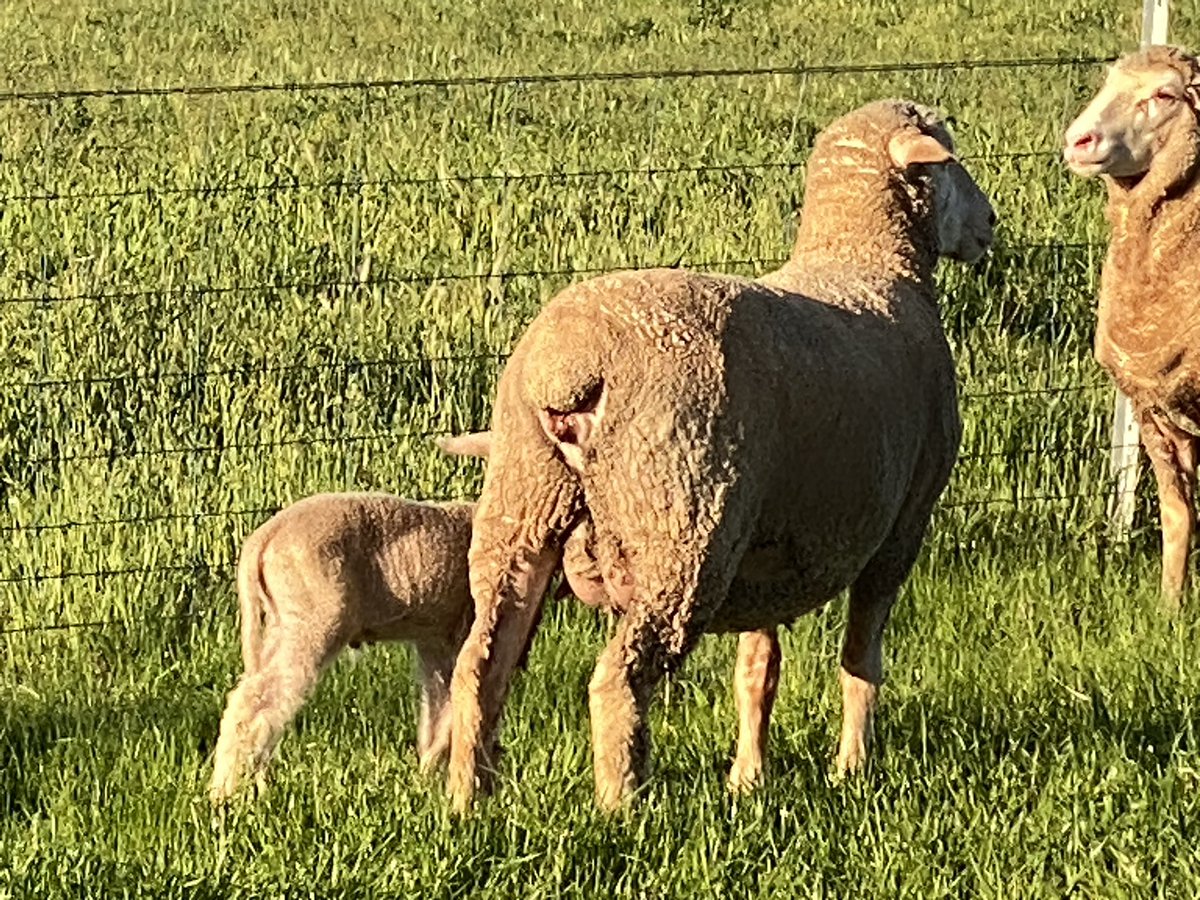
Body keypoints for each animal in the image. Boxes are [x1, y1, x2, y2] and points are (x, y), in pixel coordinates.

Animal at [444, 99, 995, 811]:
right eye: (948, 160)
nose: (991, 224)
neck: (868, 262)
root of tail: (570, 368)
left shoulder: (765, 544)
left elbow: (757, 669)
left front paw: (748, 777)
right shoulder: (903, 524)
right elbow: (860, 657)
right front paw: (852, 766)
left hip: (524, 499)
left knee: (481, 663)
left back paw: (468, 796)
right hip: (680, 525)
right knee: (619, 678)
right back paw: (622, 802)